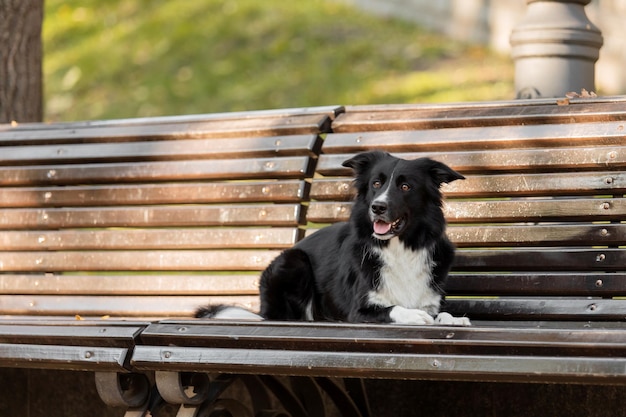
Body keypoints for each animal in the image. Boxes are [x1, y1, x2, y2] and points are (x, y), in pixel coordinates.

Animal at [195, 151, 468, 326]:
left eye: (405, 187)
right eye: (376, 184)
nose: (377, 207)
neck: (400, 248)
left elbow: (441, 314)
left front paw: (453, 319)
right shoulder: (359, 311)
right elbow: (393, 308)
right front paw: (415, 316)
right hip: (293, 261)